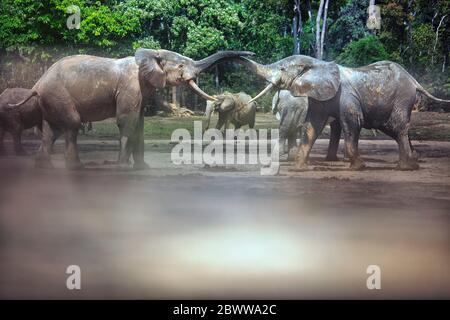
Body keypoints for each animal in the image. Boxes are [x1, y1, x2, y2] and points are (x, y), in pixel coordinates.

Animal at [11, 49, 253, 170]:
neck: (151, 55)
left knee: (51, 131)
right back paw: (76, 166)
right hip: (58, 95)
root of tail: (36, 85)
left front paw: (142, 168)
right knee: (71, 124)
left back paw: (43, 166)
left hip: (51, 100)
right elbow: (127, 121)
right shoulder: (131, 86)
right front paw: (122, 167)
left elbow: (140, 123)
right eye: (181, 66)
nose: (249, 55)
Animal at [232, 55, 450, 170]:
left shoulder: (346, 96)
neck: (317, 63)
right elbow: (312, 126)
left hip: (402, 98)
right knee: (394, 128)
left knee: (398, 127)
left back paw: (406, 167)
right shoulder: (320, 97)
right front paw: (301, 167)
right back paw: (412, 162)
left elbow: (352, 123)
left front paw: (359, 167)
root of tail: (414, 80)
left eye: (283, 69)